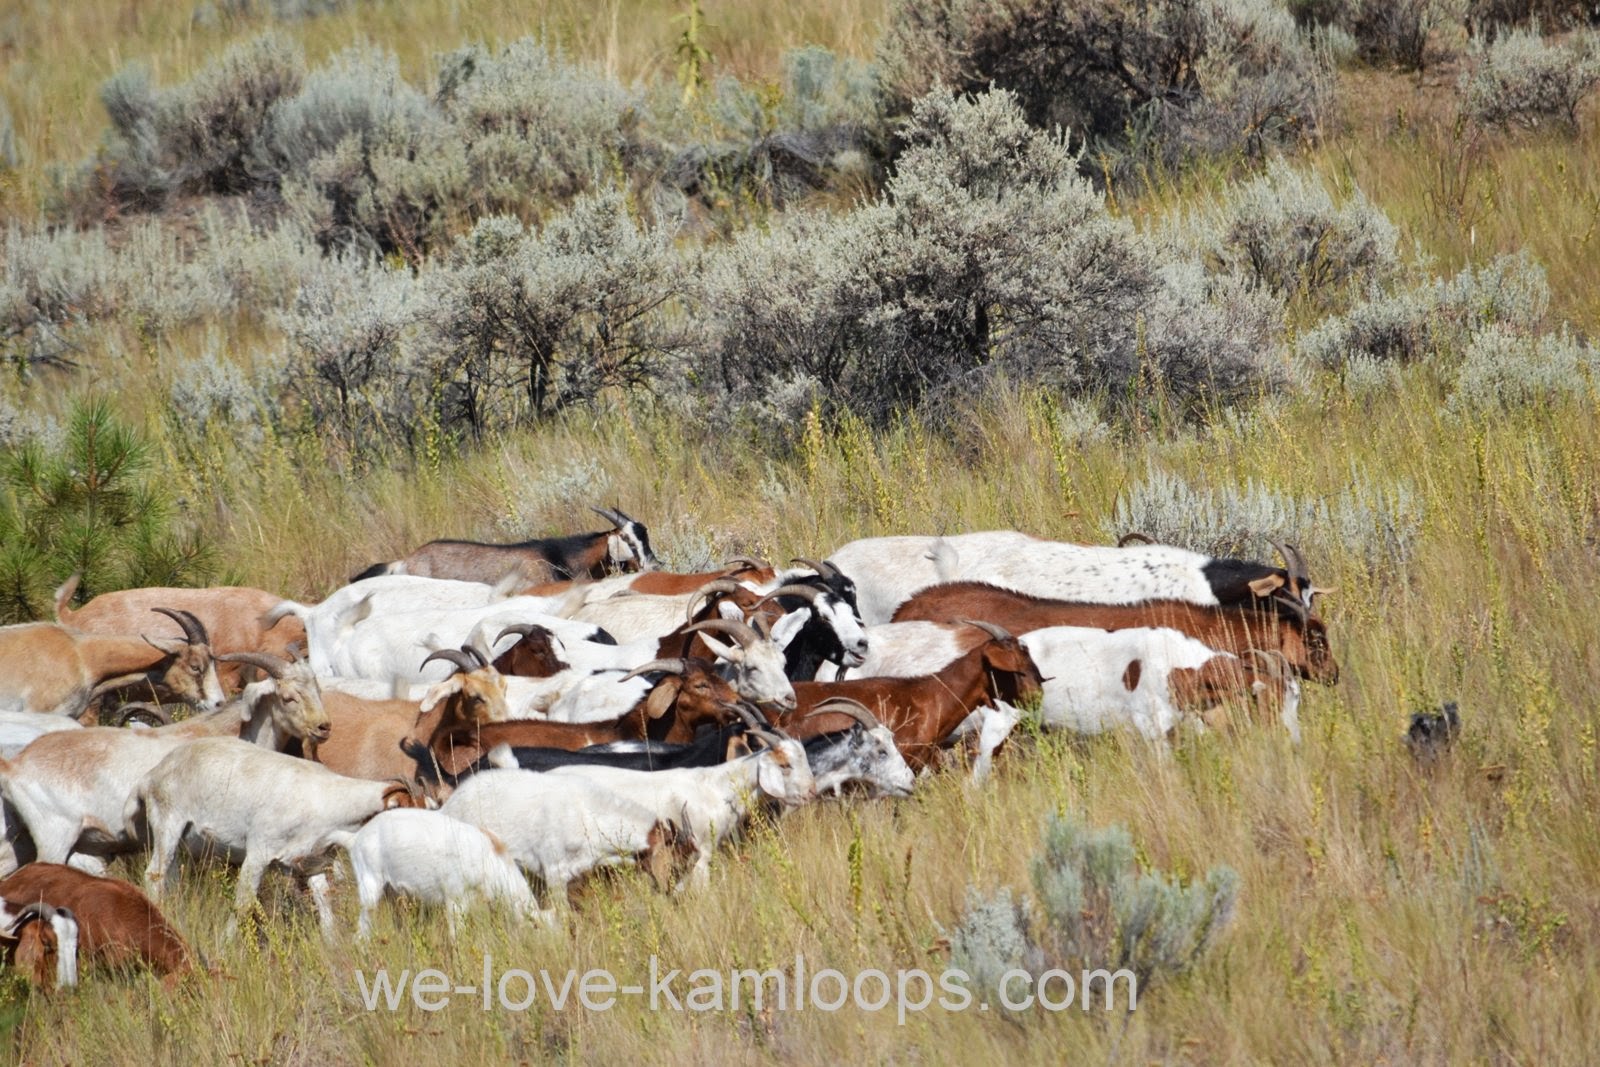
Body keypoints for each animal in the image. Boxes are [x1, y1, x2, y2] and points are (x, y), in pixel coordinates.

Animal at [324, 809, 551, 939]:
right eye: (538, 930)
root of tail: (354, 838)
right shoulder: (454, 900)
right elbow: (456, 936)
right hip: (370, 885)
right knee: (362, 929)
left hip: (392, 895)